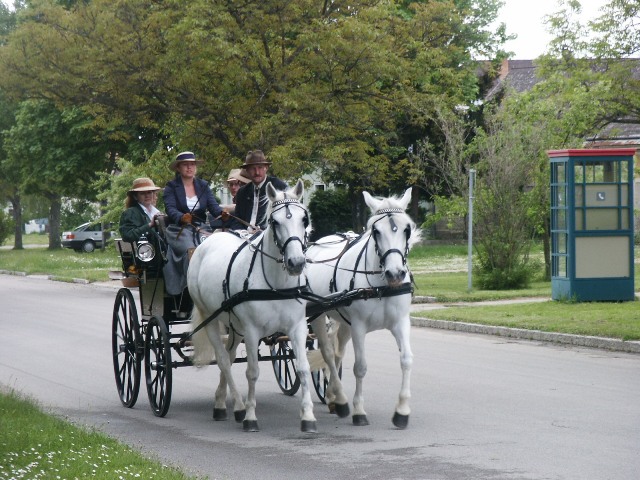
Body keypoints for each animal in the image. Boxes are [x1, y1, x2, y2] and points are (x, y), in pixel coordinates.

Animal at [186, 179, 316, 432]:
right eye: (275, 222)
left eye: (304, 219)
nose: (296, 263)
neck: (276, 285)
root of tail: (209, 240)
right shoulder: (253, 331)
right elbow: (252, 372)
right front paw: (250, 416)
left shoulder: (297, 328)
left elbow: (304, 369)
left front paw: (308, 417)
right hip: (211, 319)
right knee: (224, 361)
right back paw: (237, 406)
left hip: (235, 327)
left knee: (229, 356)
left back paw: (220, 402)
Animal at [308, 188, 422, 428]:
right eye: (376, 231)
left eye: (407, 229)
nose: (395, 273)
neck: (381, 284)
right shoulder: (359, 326)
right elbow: (360, 367)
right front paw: (359, 410)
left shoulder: (400, 322)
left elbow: (406, 360)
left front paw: (402, 410)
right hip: (318, 315)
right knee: (328, 353)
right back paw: (341, 400)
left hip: (343, 321)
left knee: (338, 352)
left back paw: (332, 396)